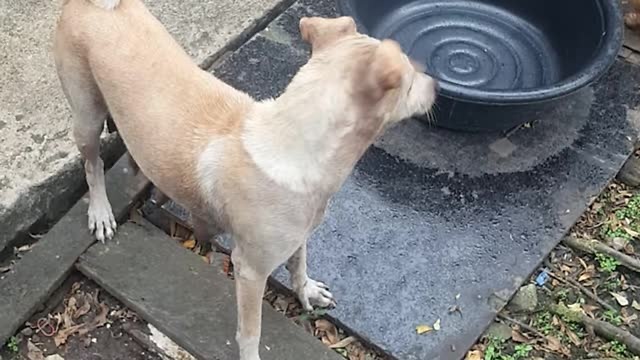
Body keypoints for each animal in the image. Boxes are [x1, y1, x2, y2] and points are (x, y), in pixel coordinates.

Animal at [55, 1, 438, 358]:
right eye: (409, 79)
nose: (435, 84)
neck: (296, 143)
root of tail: (91, 5)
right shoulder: (250, 270)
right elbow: (251, 332)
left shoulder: (297, 235)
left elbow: (299, 263)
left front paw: (306, 290)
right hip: (86, 116)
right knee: (92, 166)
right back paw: (101, 213)